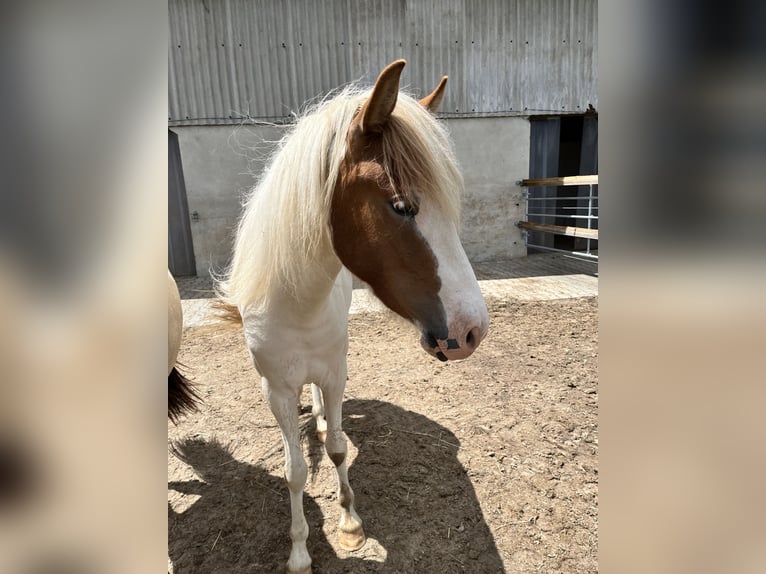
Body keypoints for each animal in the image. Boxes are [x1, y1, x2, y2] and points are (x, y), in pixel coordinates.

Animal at [216, 60, 492, 572]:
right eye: (401, 206)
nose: (472, 330)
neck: (298, 303)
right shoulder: (276, 390)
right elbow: (295, 470)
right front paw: (300, 552)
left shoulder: (335, 373)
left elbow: (338, 449)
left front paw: (349, 524)